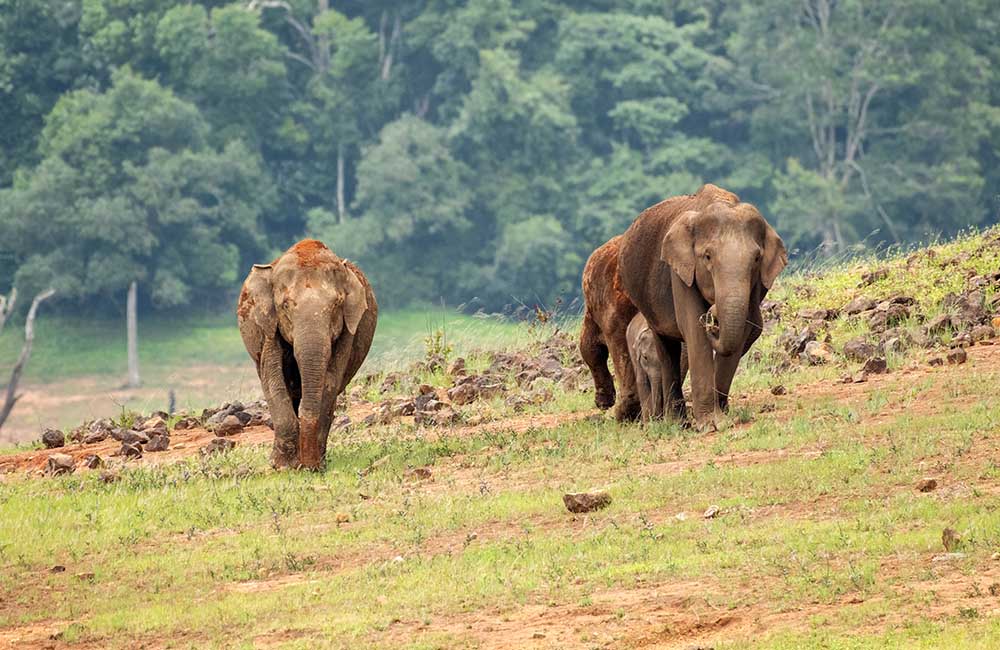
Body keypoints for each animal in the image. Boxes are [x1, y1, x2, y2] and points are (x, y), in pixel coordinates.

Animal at [236, 238, 376, 466]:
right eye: (285, 305)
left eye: (337, 304)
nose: (308, 466)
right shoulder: (268, 326)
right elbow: (273, 379)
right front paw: (281, 466)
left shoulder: (349, 329)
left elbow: (331, 380)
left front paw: (313, 466)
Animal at [616, 182, 788, 428]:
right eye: (707, 256)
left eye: (756, 259)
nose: (713, 316)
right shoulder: (680, 271)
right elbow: (693, 331)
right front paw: (710, 424)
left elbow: (746, 329)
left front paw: (722, 418)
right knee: (666, 346)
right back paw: (677, 421)